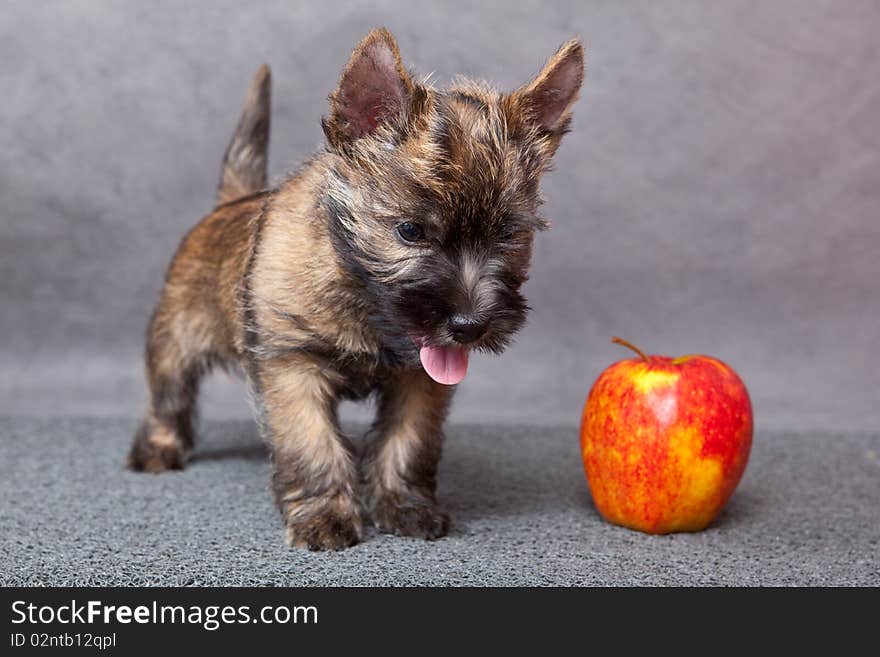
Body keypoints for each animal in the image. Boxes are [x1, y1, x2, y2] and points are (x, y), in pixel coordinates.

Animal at [129, 28, 584, 548]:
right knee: (168, 397)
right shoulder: (293, 367)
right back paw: (158, 449)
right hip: (174, 339)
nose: (470, 325)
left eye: (508, 235)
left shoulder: (420, 381)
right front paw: (325, 517)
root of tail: (230, 202)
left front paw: (405, 506)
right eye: (410, 231)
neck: (363, 303)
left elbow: (408, 441)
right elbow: (313, 444)